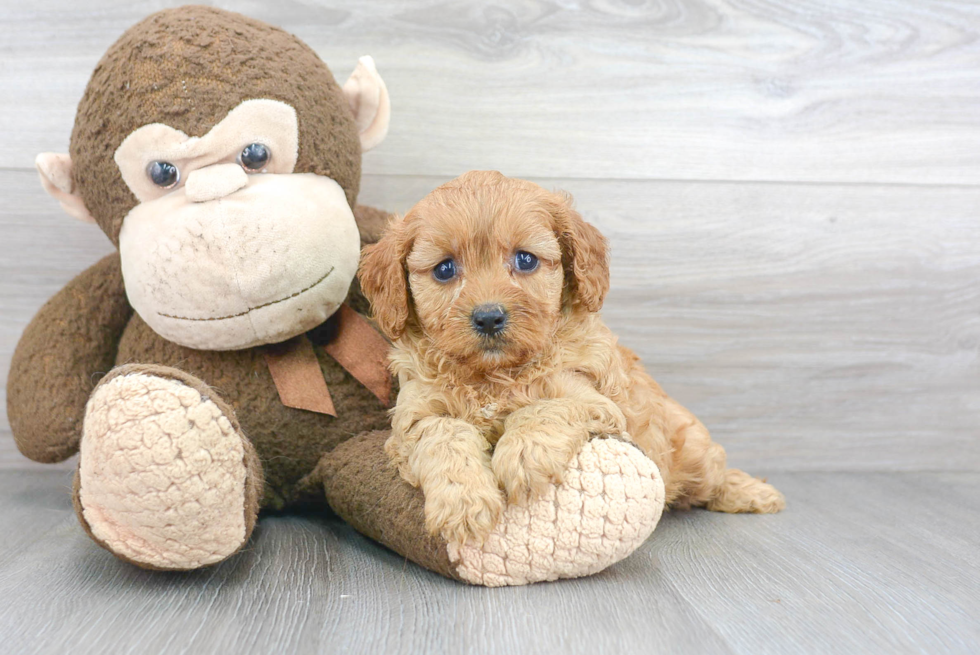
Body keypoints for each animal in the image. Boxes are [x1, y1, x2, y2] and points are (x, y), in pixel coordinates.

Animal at [356, 172, 784, 544]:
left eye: (525, 260)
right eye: (444, 269)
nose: (489, 317)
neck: (495, 376)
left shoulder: (594, 400)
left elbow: (544, 408)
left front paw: (523, 455)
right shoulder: (414, 415)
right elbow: (445, 436)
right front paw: (462, 502)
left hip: (691, 451)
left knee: (715, 471)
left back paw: (755, 494)